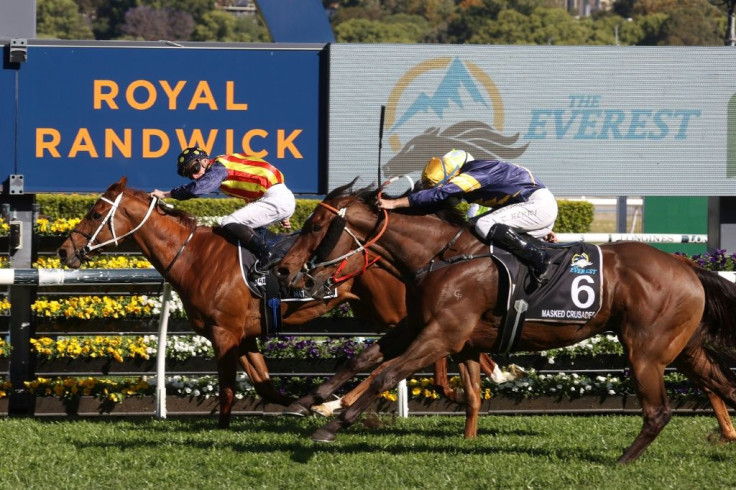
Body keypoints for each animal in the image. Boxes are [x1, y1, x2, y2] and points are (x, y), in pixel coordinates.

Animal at [56, 180, 506, 428]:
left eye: (95, 212)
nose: (63, 251)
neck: (194, 255)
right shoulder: (244, 335)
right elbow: (265, 385)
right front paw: (310, 407)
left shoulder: (223, 334)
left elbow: (228, 388)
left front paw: (222, 427)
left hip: (395, 311)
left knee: (438, 350)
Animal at [276, 183, 736, 464]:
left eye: (316, 226)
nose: (285, 272)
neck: (444, 256)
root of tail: (686, 267)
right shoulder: (418, 324)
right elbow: (361, 360)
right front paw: (309, 400)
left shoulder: (444, 334)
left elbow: (386, 374)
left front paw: (333, 424)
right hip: (684, 349)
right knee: (724, 387)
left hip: (646, 352)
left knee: (659, 411)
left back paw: (623, 460)